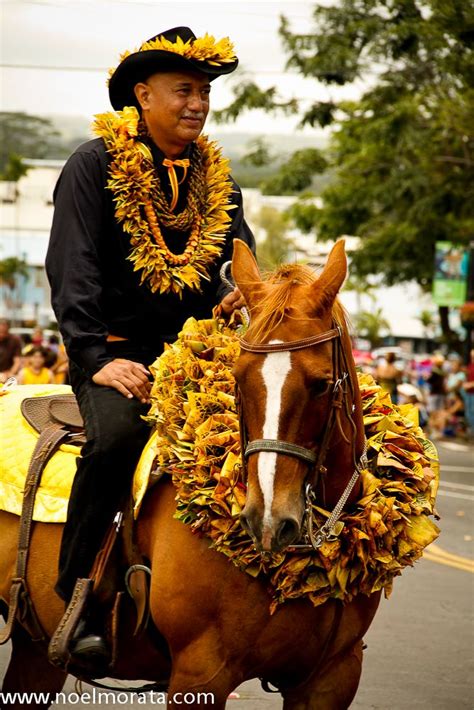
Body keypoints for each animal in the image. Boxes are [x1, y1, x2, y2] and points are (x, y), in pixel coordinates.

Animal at [0, 242, 380, 708]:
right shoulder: (201, 675)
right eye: (237, 379)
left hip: (34, 650)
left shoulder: (332, 677)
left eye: (322, 384)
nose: (268, 520)